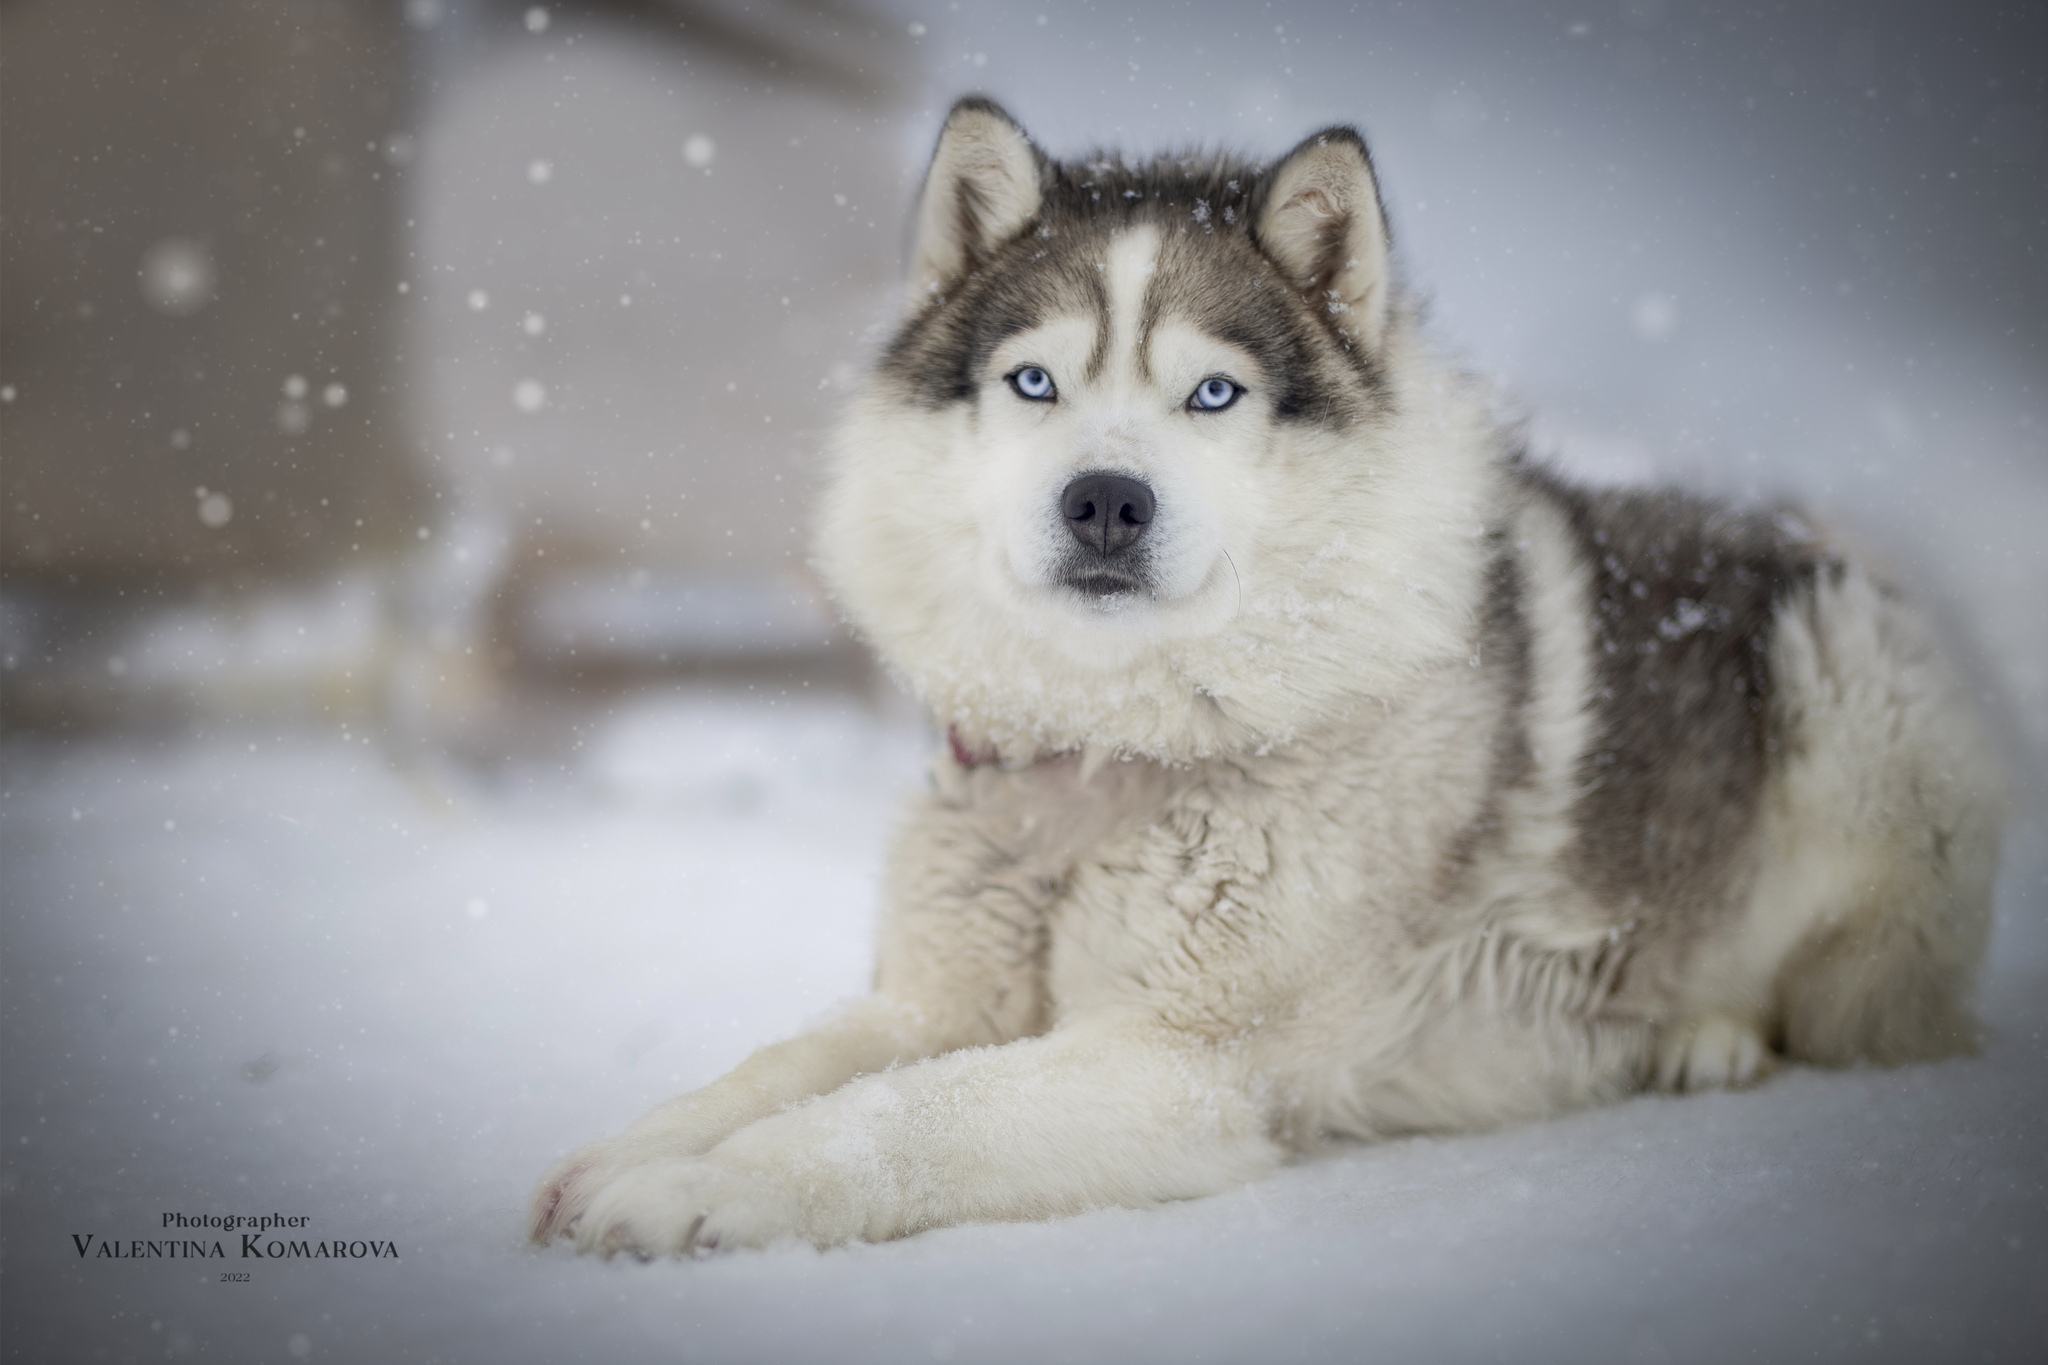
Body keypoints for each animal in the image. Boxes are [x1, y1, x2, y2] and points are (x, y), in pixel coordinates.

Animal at [528, 98, 1998, 1260]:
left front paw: (702, 1192)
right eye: (1034, 382)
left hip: (1843, 680)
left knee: (1860, 1009)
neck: (1108, 755)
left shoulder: (1178, 1070)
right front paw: (642, 1145)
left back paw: (1709, 1036)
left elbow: (902, 1115)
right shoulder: (937, 997)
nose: (1104, 502)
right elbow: (791, 1062)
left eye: (1213, 396)